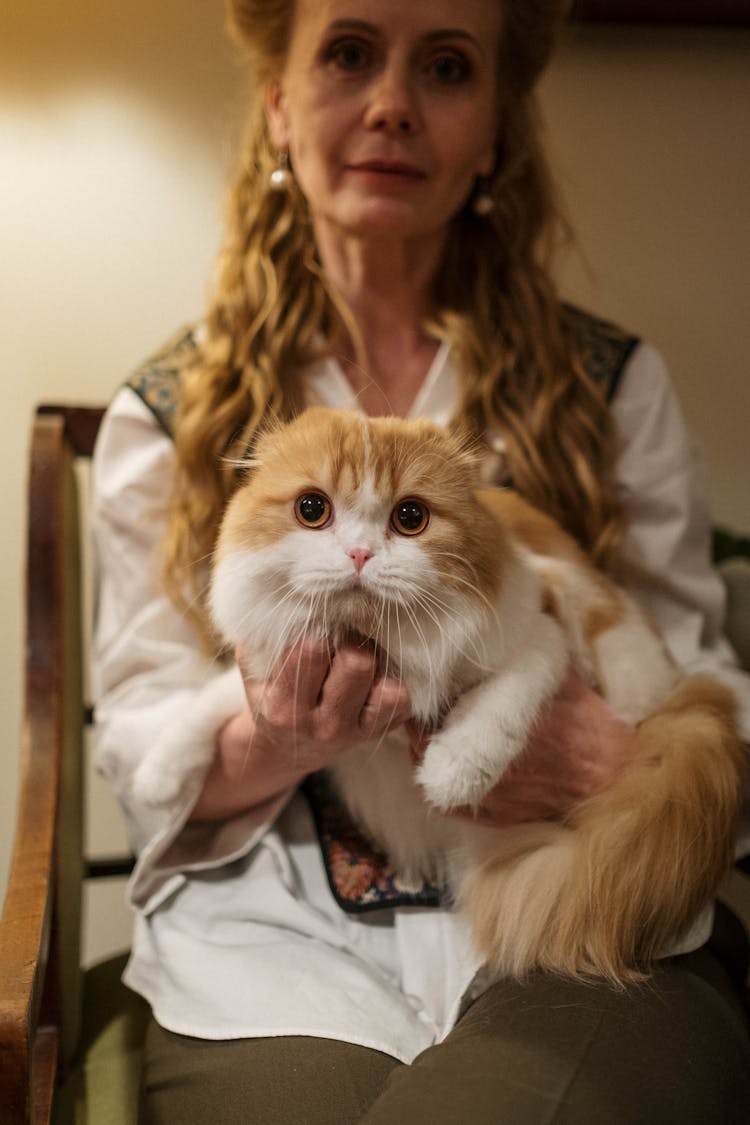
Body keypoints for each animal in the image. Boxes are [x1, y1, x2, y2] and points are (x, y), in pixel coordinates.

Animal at [132, 409, 742, 981]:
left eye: (410, 518)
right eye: (312, 509)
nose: (359, 555)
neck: (375, 642)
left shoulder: (539, 636)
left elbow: (500, 707)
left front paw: (453, 772)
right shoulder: (274, 659)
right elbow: (209, 704)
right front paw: (160, 778)